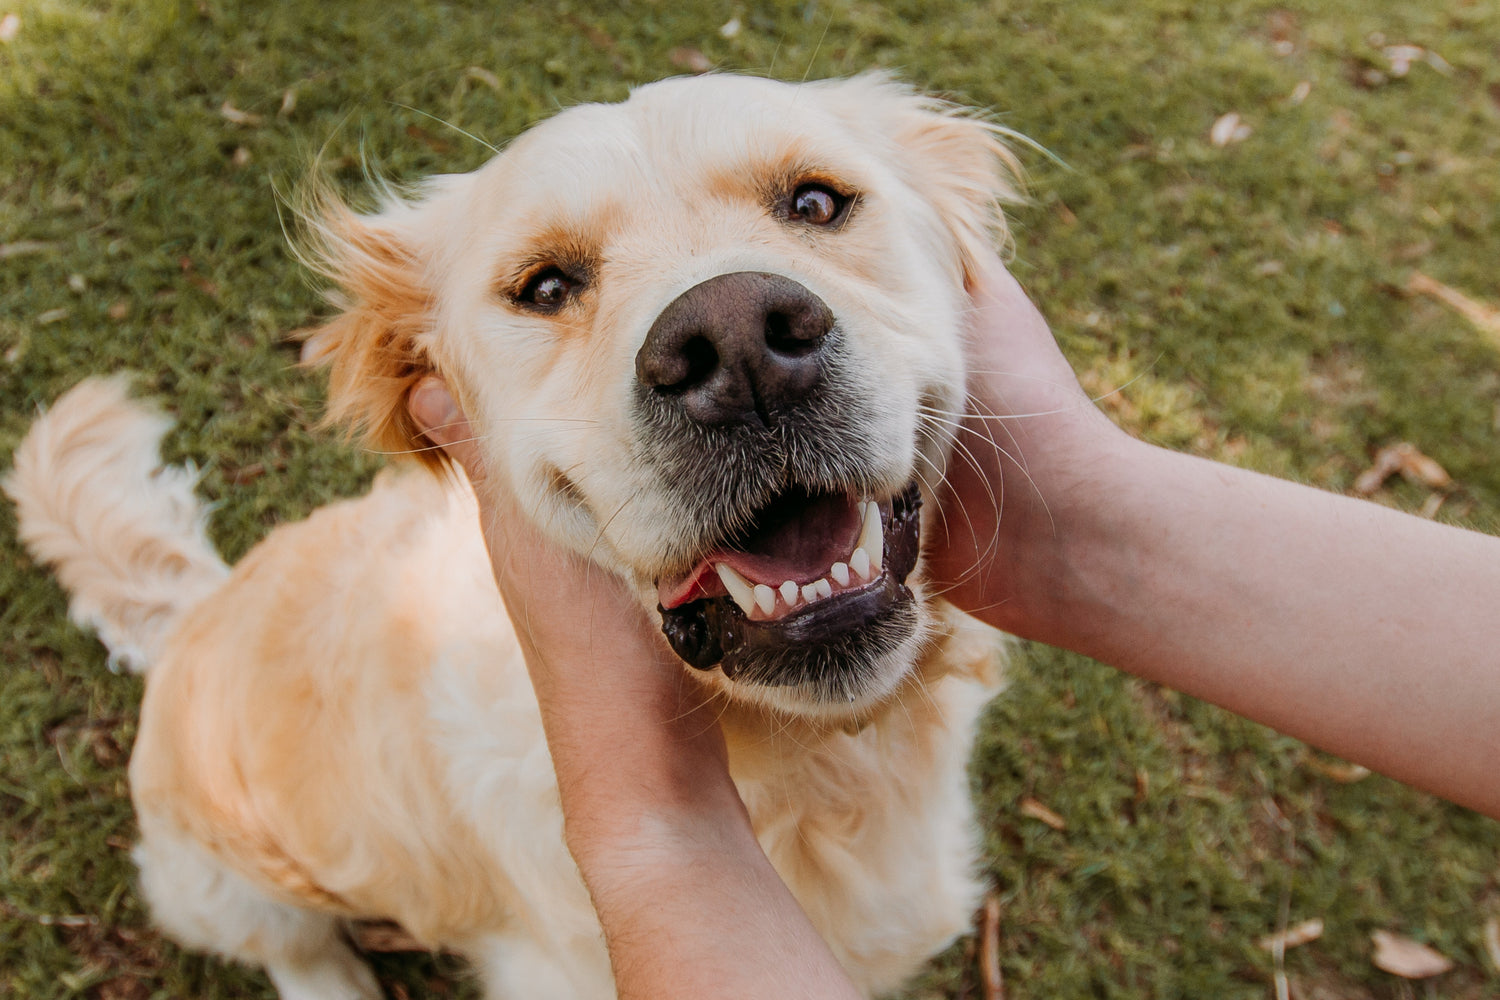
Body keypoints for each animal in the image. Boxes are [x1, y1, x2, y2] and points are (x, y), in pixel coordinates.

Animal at [5, 74, 1020, 995]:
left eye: (815, 202)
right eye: (545, 286)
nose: (737, 347)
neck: (820, 763)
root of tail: (191, 612)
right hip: (225, 883)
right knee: (294, 953)